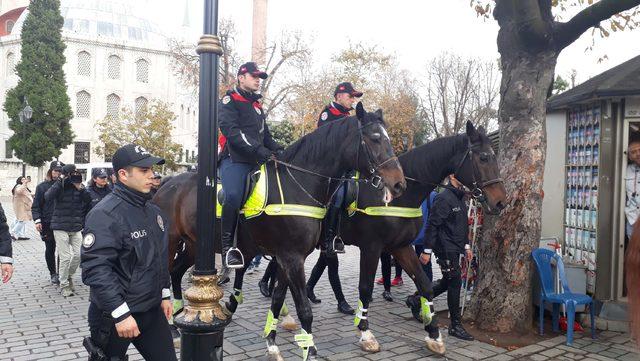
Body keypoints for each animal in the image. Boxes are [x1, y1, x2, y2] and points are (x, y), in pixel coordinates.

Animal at [154, 102, 404, 358]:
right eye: (374, 138)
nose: (398, 183)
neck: (299, 184)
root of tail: (168, 183)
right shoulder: (292, 258)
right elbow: (304, 309)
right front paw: (310, 350)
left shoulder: (287, 257)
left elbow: (277, 298)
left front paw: (272, 344)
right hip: (171, 243)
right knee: (165, 278)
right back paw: (173, 327)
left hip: (195, 245)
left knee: (176, 272)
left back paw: (177, 317)